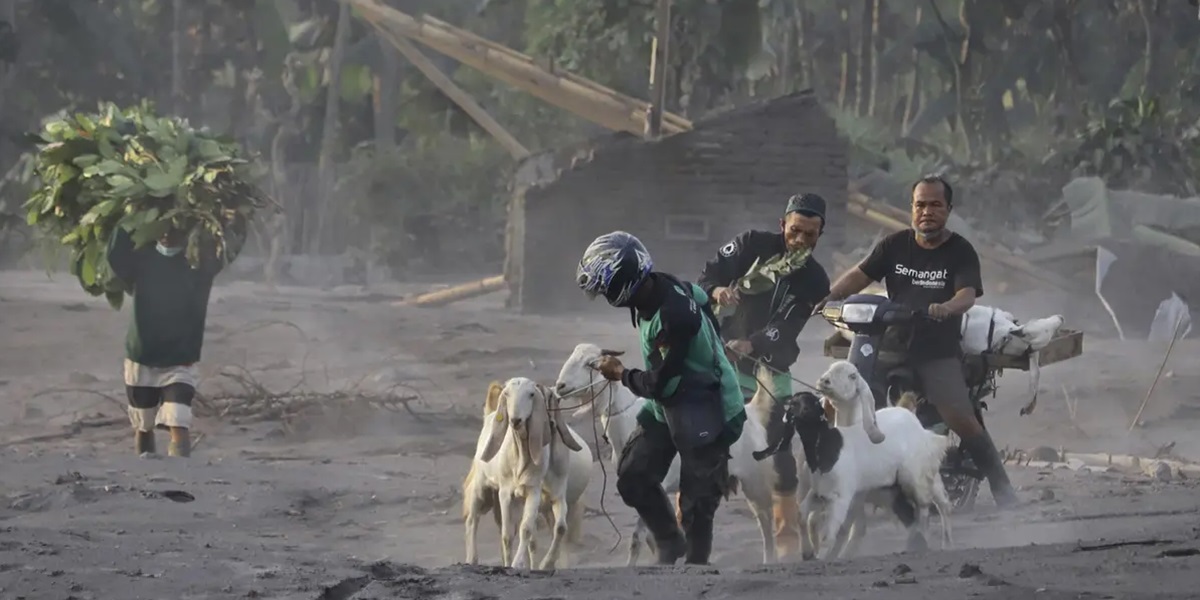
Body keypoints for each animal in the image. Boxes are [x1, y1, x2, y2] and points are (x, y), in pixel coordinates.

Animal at [463, 376, 590, 568]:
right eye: (507, 394)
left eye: (531, 394)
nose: (515, 420)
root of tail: (489, 416)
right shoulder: (506, 493)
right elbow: (508, 535)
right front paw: (513, 564)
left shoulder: (545, 494)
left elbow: (543, 530)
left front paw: (541, 564)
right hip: (482, 488)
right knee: (473, 520)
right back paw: (472, 559)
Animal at [792, 360, 950, 561]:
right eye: (830, 369)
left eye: (852, 375)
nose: (824, 381)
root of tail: (907, 412)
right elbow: (814, 519)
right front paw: (813, 550)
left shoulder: (854, 495)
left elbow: (847, 528)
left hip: (918, 477)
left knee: (933, 507)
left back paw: (938, 543)